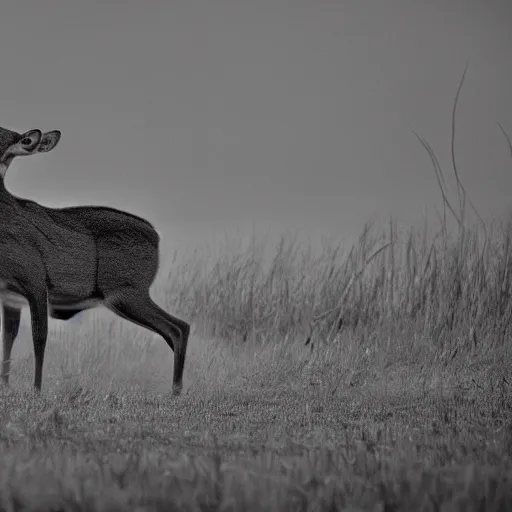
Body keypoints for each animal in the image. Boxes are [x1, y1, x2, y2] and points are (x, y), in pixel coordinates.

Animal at [0, 125, 189, 396]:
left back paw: (175, 392)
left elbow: (39, 337)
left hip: (126, 291)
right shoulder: (8, 295)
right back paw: (176, 390)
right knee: (177, 328)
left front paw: (36, 391)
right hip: (126, 296)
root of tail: (157, 237)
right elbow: (8, 339)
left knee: (177, 329)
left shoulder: (35, 281)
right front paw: (5, 386)